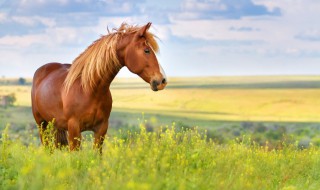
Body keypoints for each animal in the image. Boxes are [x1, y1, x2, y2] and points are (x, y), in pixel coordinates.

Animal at [31, 22, 168, 153]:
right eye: (146, 50)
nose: (162, 80)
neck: (89, 89)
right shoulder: (74, 129)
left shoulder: (101, 129)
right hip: (42, 125)